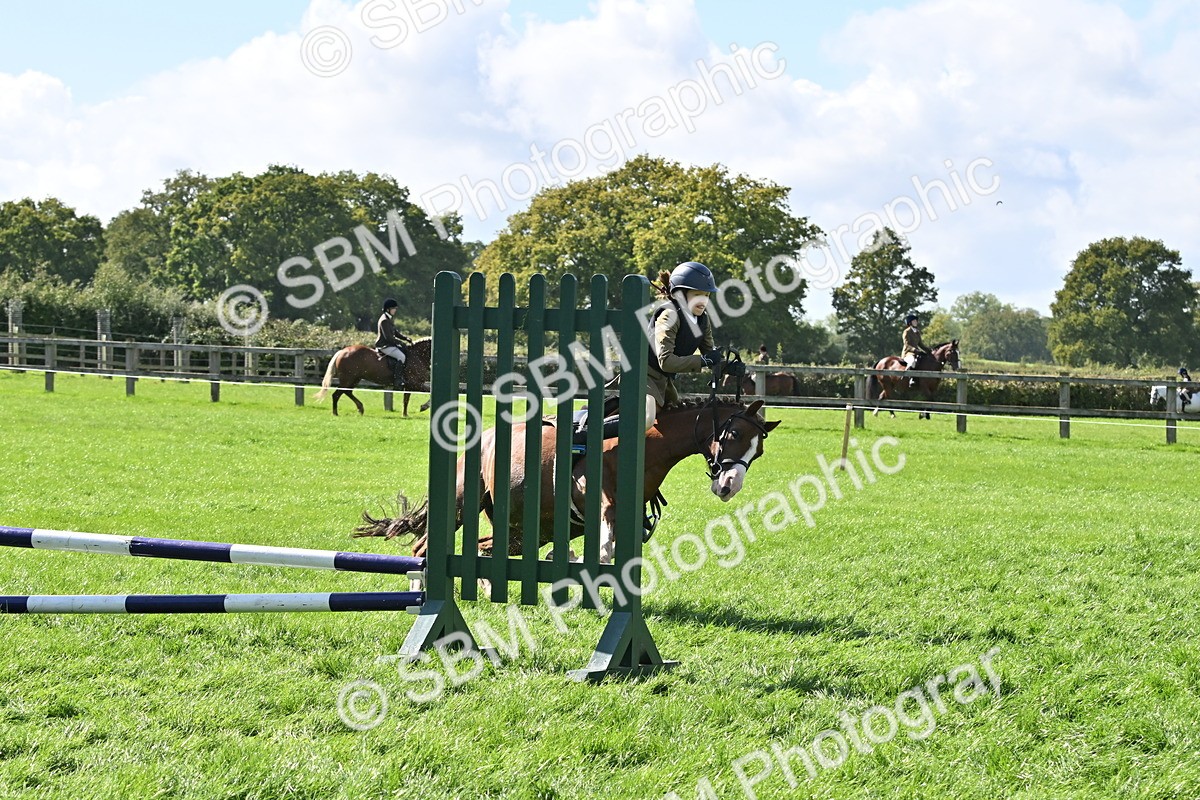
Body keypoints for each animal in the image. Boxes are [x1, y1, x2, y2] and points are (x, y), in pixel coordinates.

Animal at [355, 398, 781, 564]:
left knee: (486, 548)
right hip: (463, 502)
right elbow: (606, 551)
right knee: (424, 547)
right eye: (733, 435)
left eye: (758, 452)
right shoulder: (602, 504)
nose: (728, 486)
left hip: (522, 531)